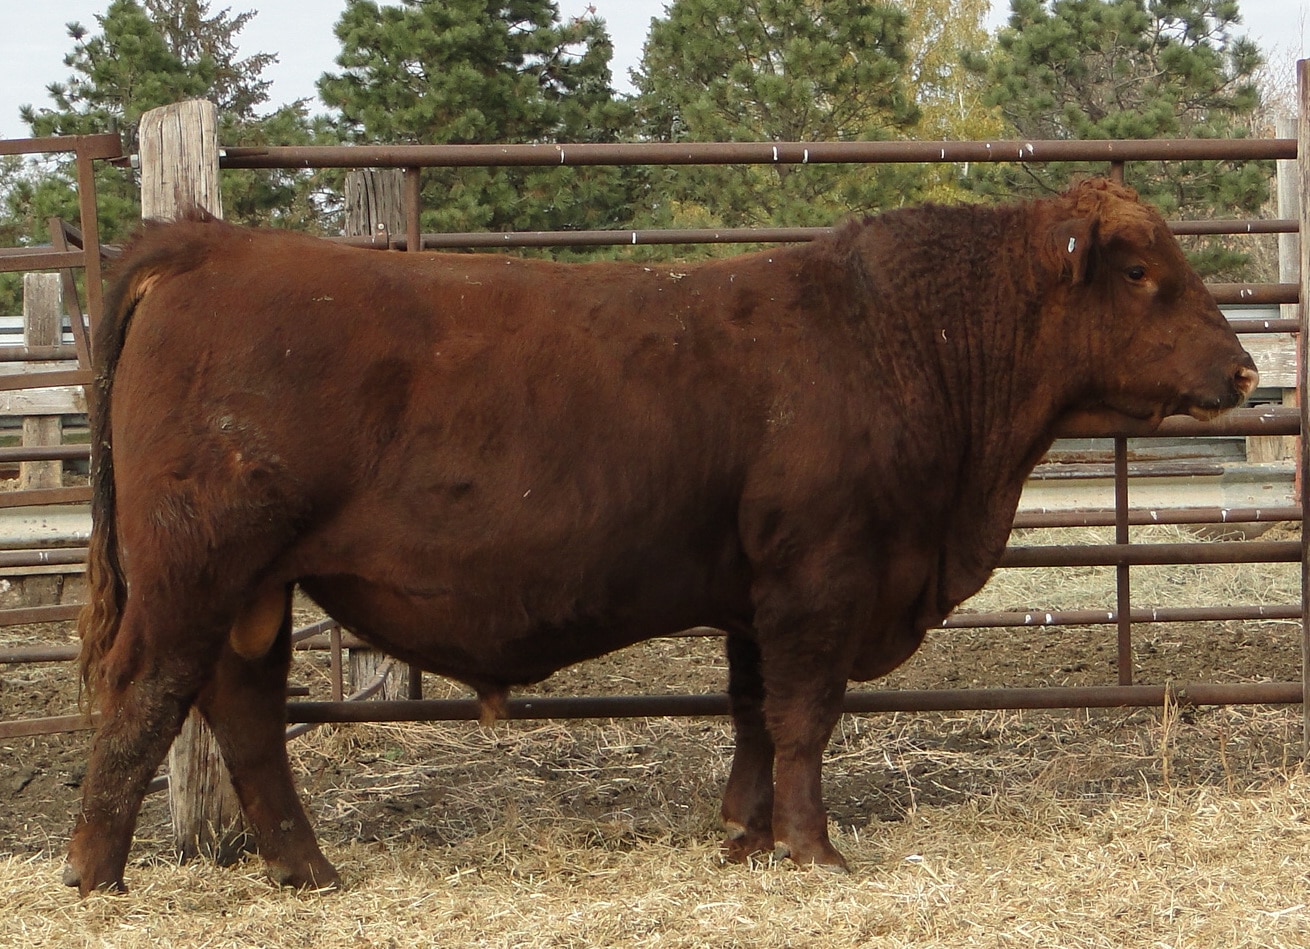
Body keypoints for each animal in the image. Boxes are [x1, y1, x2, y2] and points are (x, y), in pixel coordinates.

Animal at [63, 179, 1257, 895]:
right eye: (1142, 272)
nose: (1244, 368)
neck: (900, 340)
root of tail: (207, 246)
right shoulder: (821, 577)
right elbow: (805, 718)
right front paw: (817, 850)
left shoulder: (755, 594)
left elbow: (754, 717)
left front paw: (746, 839)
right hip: (195, 568)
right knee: (143, 696)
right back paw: (95, 874)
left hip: (255, 588)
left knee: (243, 713)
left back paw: (307, 871)